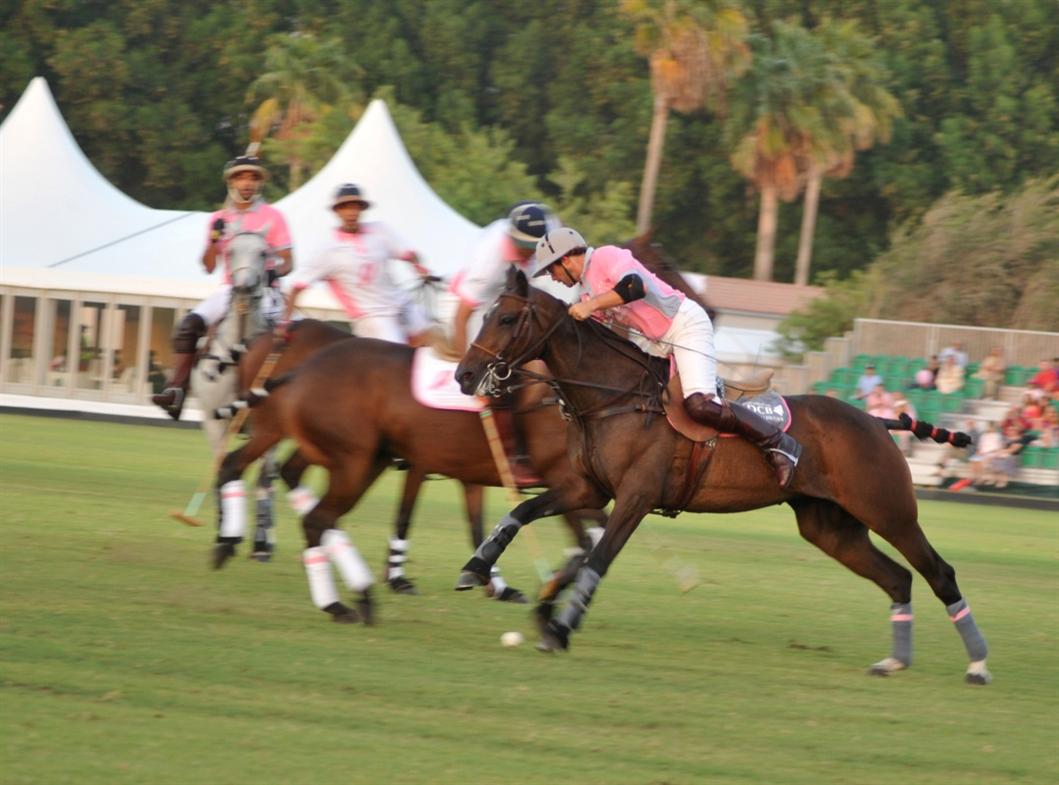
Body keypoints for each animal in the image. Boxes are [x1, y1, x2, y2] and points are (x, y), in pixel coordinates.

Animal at [214, 322, 605, 622]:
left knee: (284, 483)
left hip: (353, 455)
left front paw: (499, 582)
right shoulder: (559, 478)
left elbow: (486, 527)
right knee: (297, 501)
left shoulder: (482, 477)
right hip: (327, 448)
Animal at [452, 268, 991, 685]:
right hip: (830, 527)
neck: (613, 398)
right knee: (899, 578)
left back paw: (978, 665)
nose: (464, 375)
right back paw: (894, 661)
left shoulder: (635, 496)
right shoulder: (588, 488)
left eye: (505, 317)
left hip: (889, 511)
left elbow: (598, 559)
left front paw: (559, 629)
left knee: (939, 573)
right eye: (485, 313)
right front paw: (478, 569)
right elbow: (523, 512)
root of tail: (879, 420)